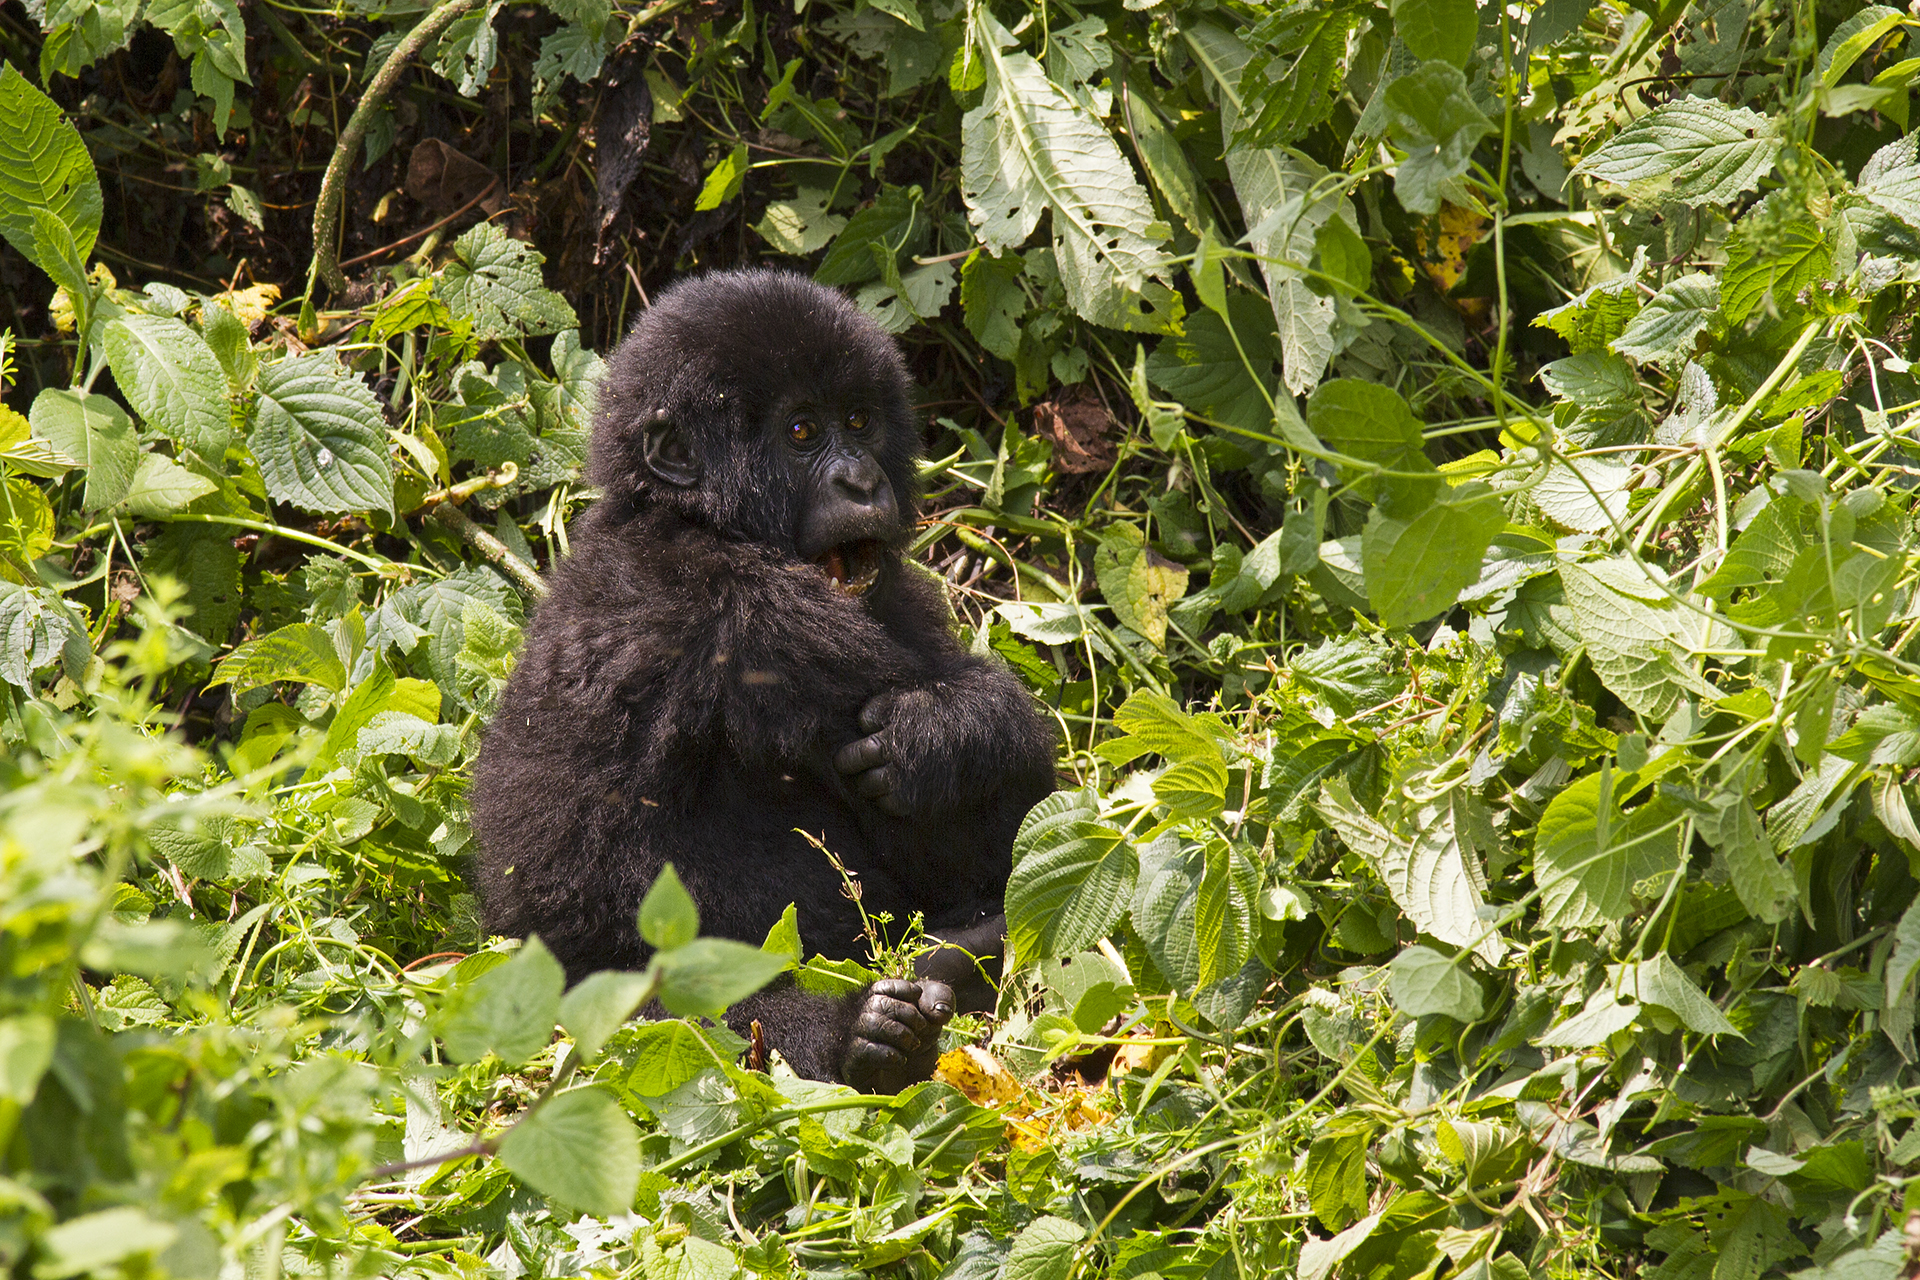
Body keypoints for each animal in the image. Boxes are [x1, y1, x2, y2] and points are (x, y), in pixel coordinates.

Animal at [471, 268, 1057, 1090]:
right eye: (802, 433)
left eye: (860, 421)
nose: (862, 481)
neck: (683, 514)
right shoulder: (751, 610)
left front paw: (948, 735)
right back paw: (862, 1037)